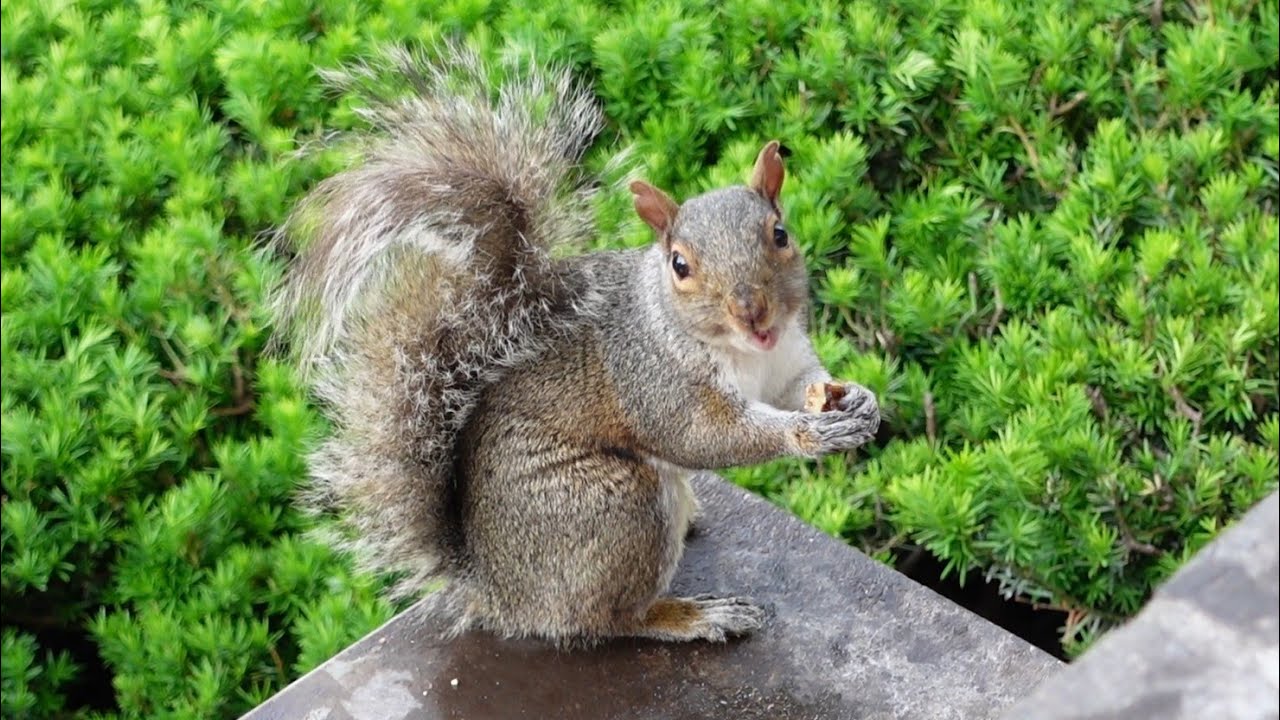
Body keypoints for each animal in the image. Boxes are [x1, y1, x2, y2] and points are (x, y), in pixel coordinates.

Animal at [270, 46, 880, 646]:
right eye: (680, 265)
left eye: (780, 234)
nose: (752, 311)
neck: (745, 351)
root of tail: (498, 589)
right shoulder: (653, 378)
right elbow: (705, 436)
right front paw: (807, 434)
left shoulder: (785, 359)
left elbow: (801, 386)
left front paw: (858, 402)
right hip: (616, 508)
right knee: (609, 620)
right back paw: (692, 616)